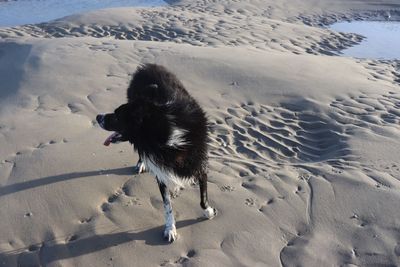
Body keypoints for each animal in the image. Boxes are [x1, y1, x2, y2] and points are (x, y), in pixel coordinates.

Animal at [96, 63, 216, 243]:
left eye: (117, 116)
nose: (98, 117)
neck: (166, 134)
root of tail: (147, 66)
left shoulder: (200, 164)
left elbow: (203, 196)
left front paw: (207, 211)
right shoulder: (161, 173)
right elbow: (167, 206)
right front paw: (170, 229)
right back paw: (141, 164)